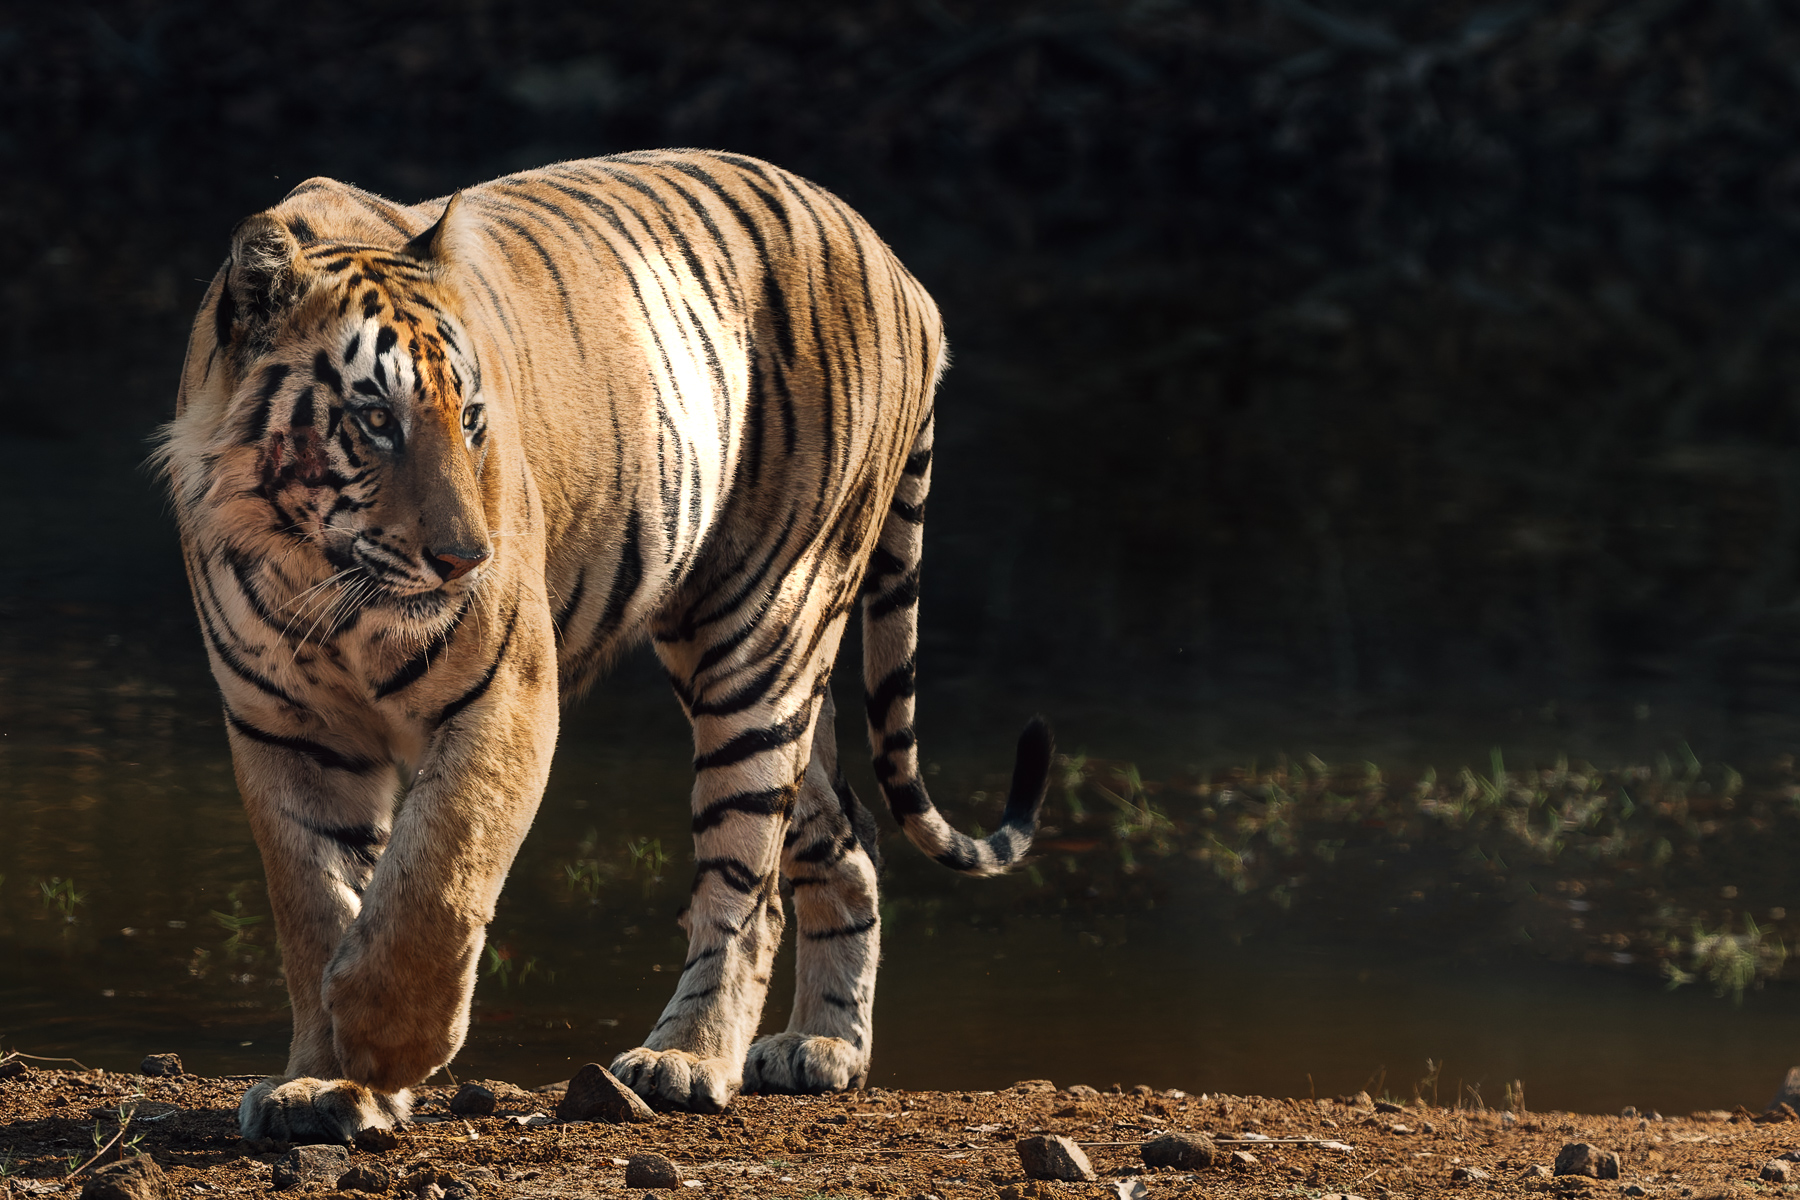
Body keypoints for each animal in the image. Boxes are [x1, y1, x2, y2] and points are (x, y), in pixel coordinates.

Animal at [157, 149, 1052, 1140]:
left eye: (470, 418)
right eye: (376, 420)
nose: (466, 559)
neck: (322, 582)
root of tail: (898, 266)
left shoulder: (507, 695)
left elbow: (437, 875)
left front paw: (387, 1046)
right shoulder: (284, 729)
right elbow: (317, 906)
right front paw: (323, 1083)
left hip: (759, 631)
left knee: (747, 888)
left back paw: (685, 1059)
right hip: (782, 677)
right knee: (842, 837)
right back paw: (822, 1046)